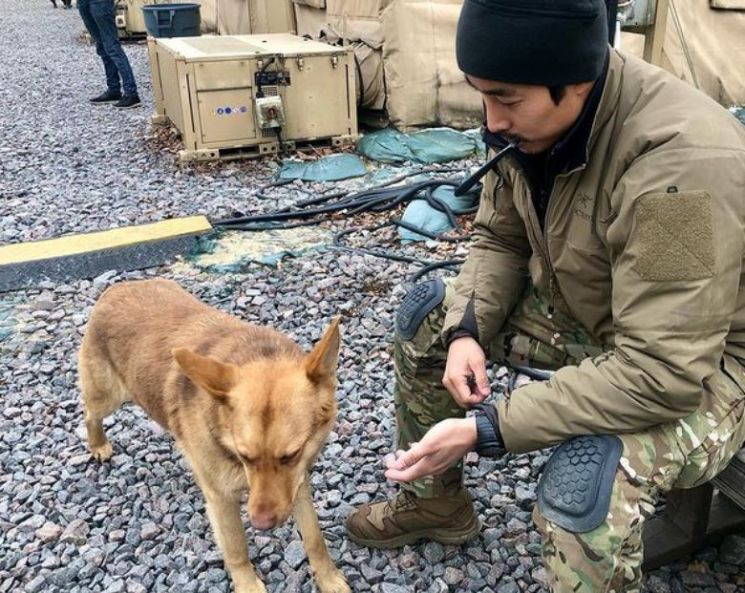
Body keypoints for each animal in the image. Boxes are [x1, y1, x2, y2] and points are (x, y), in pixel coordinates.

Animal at [77, 278, 350, 592]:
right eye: (245, 456)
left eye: (290, 455)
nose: (261, 524)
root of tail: (117, 288)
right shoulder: (222, 499)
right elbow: (237, 548)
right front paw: (248, 585)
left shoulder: (296, 482)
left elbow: (315, 537)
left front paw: (328, 577)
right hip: (107, 395)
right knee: (90, 413)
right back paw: (98, 444)